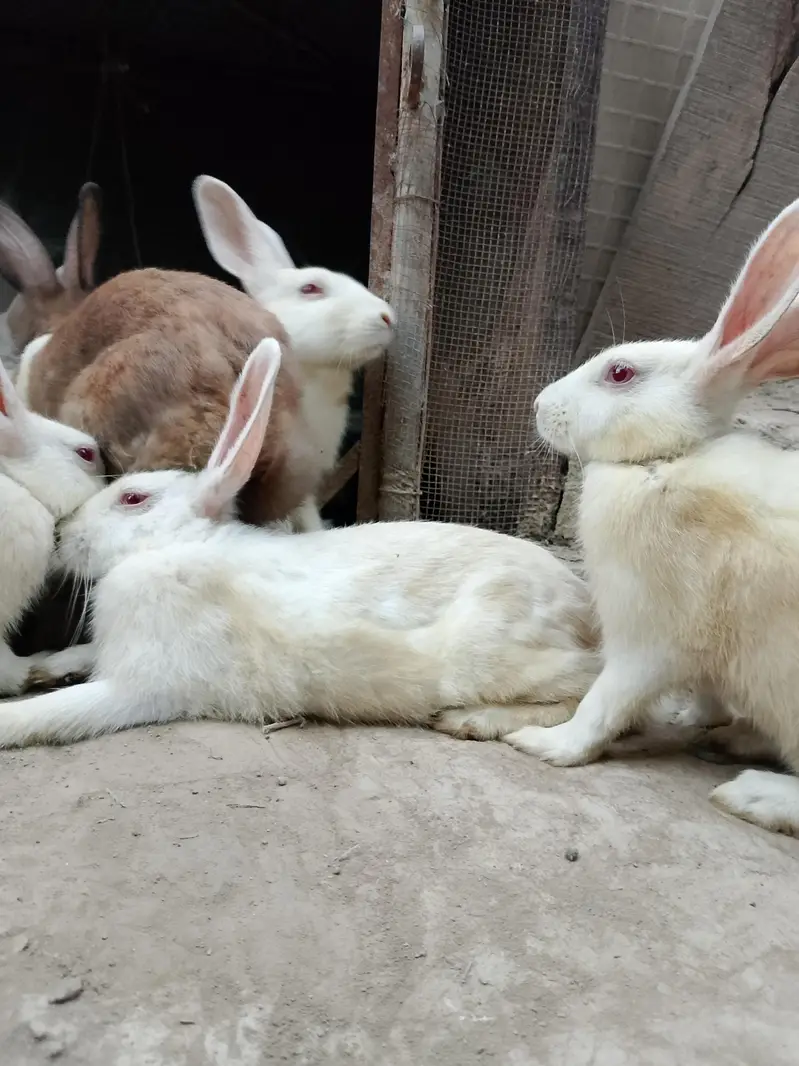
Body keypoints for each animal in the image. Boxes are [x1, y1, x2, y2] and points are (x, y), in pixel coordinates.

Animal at [502, 195, 799, 837]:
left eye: (620, 372)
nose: (538, 404)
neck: (664, 460)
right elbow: (706, 694)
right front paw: (696, 719)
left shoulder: (647, 632)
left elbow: (606, 700)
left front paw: (545, 743)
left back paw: (753, 794)